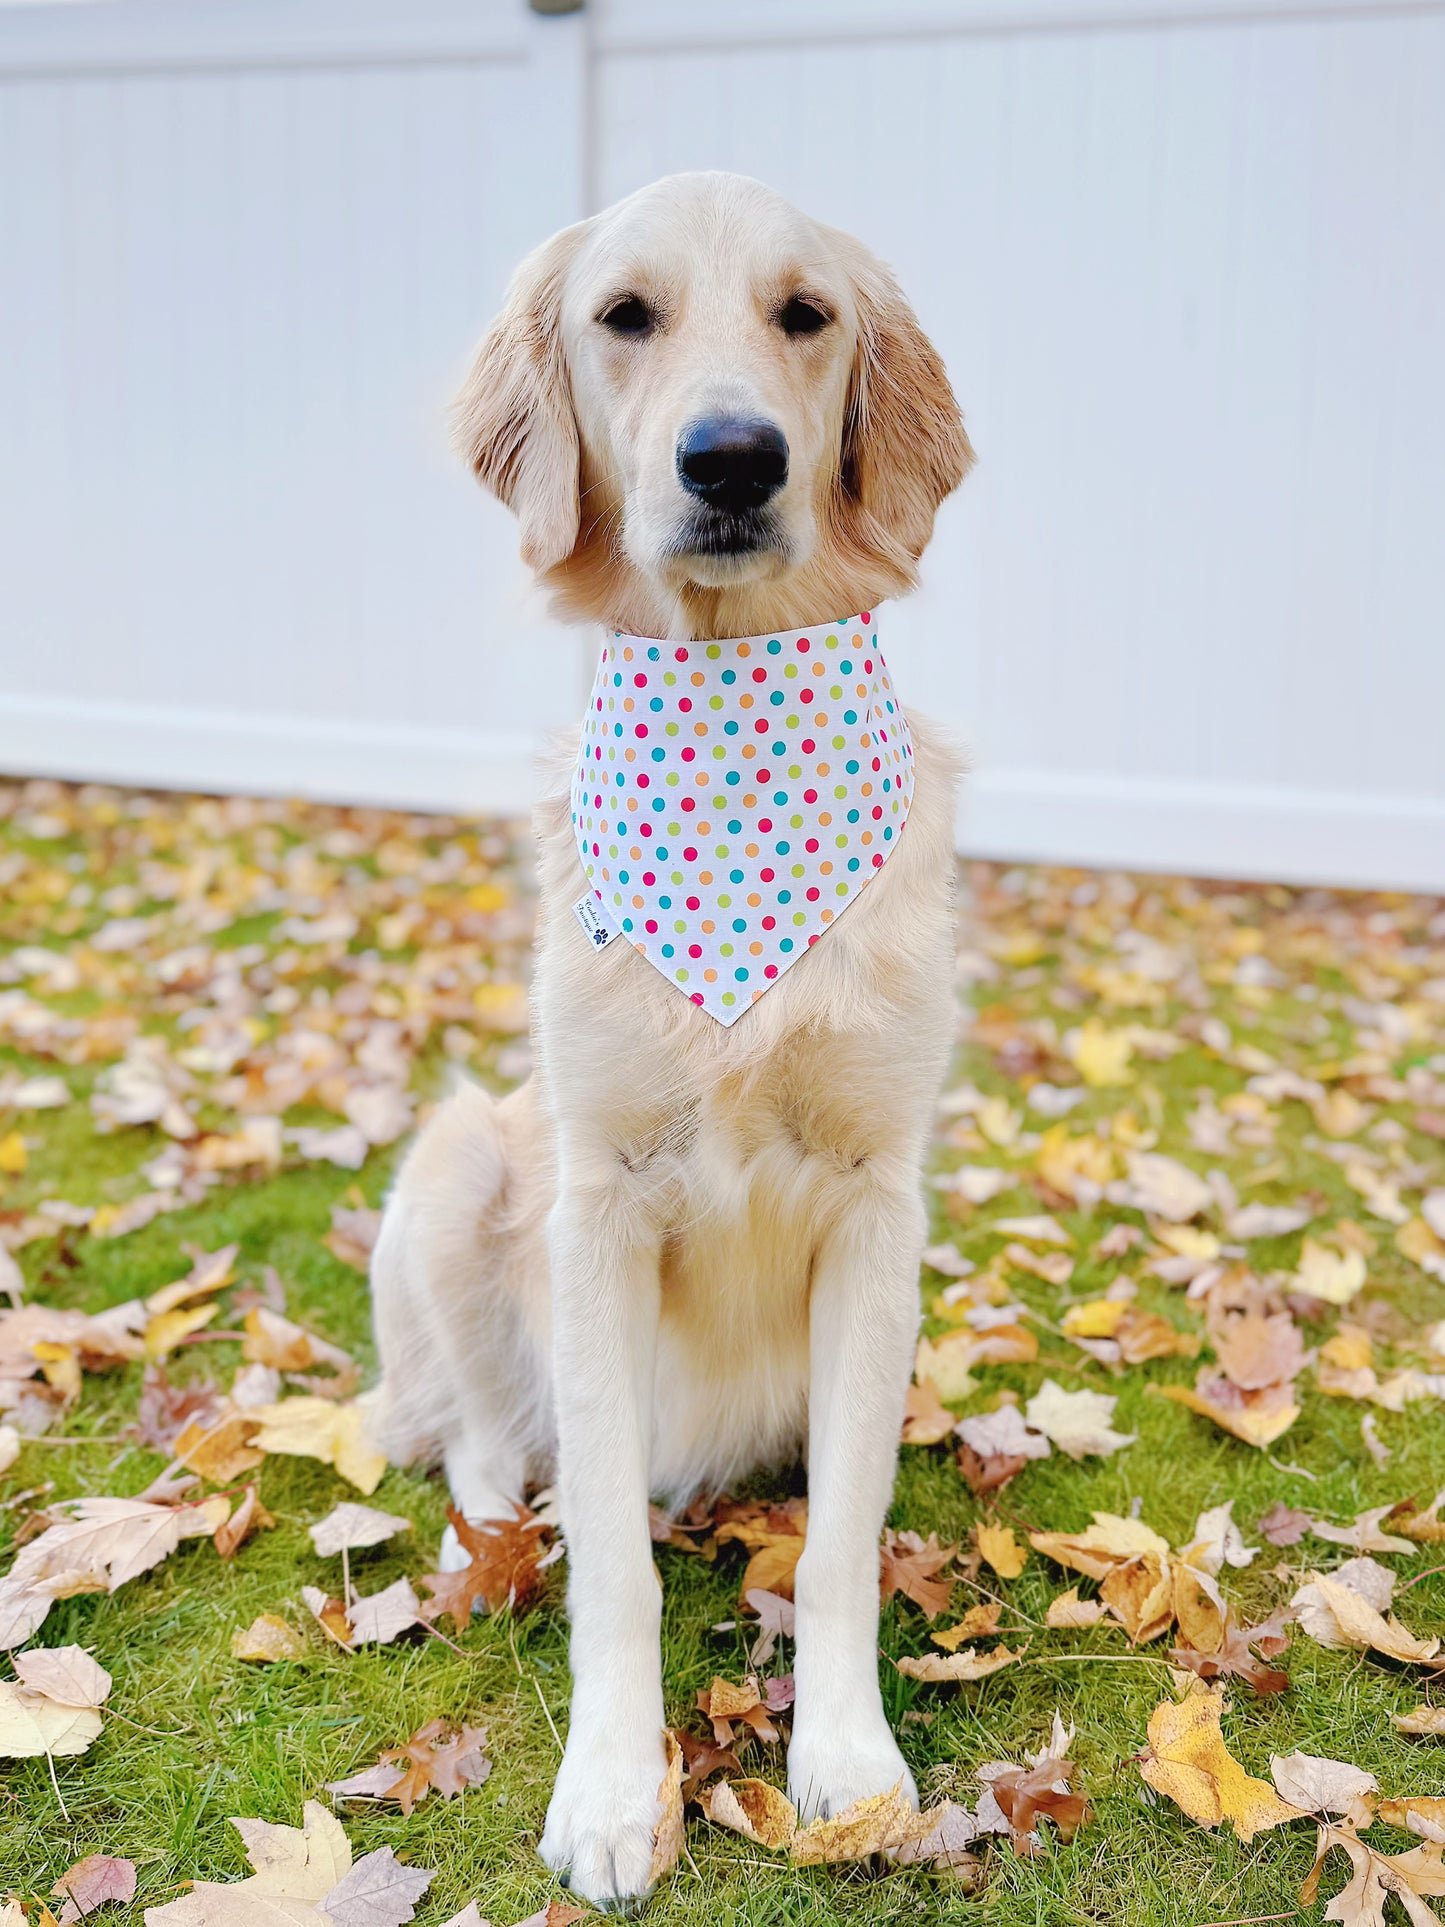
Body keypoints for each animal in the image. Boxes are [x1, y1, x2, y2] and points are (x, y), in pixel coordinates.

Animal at [373, 169, 974, 1911]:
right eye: (624, 316)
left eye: (806, 315)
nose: (731, 459)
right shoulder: (597, 1194)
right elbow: (616, 1576)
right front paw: (611, 1787)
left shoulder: (877, 1202)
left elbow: (839, 1543)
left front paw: (846, 1760)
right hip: (458, 1165)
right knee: (480, 1437)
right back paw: (499, 1517)